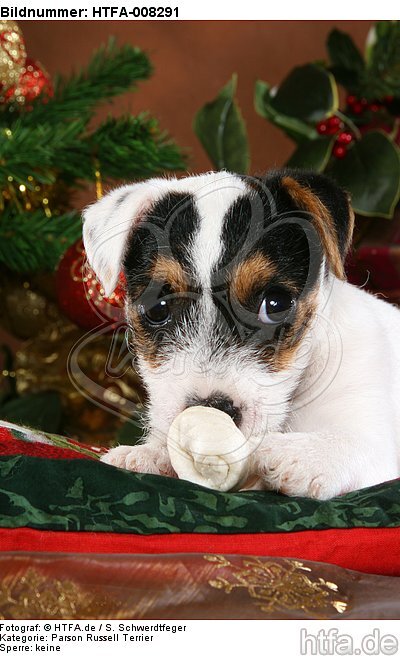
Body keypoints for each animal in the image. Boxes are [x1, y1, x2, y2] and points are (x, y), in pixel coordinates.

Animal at [81, 169, 400, 498]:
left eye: (275, 304)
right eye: (158, 308)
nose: (213, 409)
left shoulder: (375, 441)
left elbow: (354, 444)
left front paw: (301, 455)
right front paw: (150, 453)